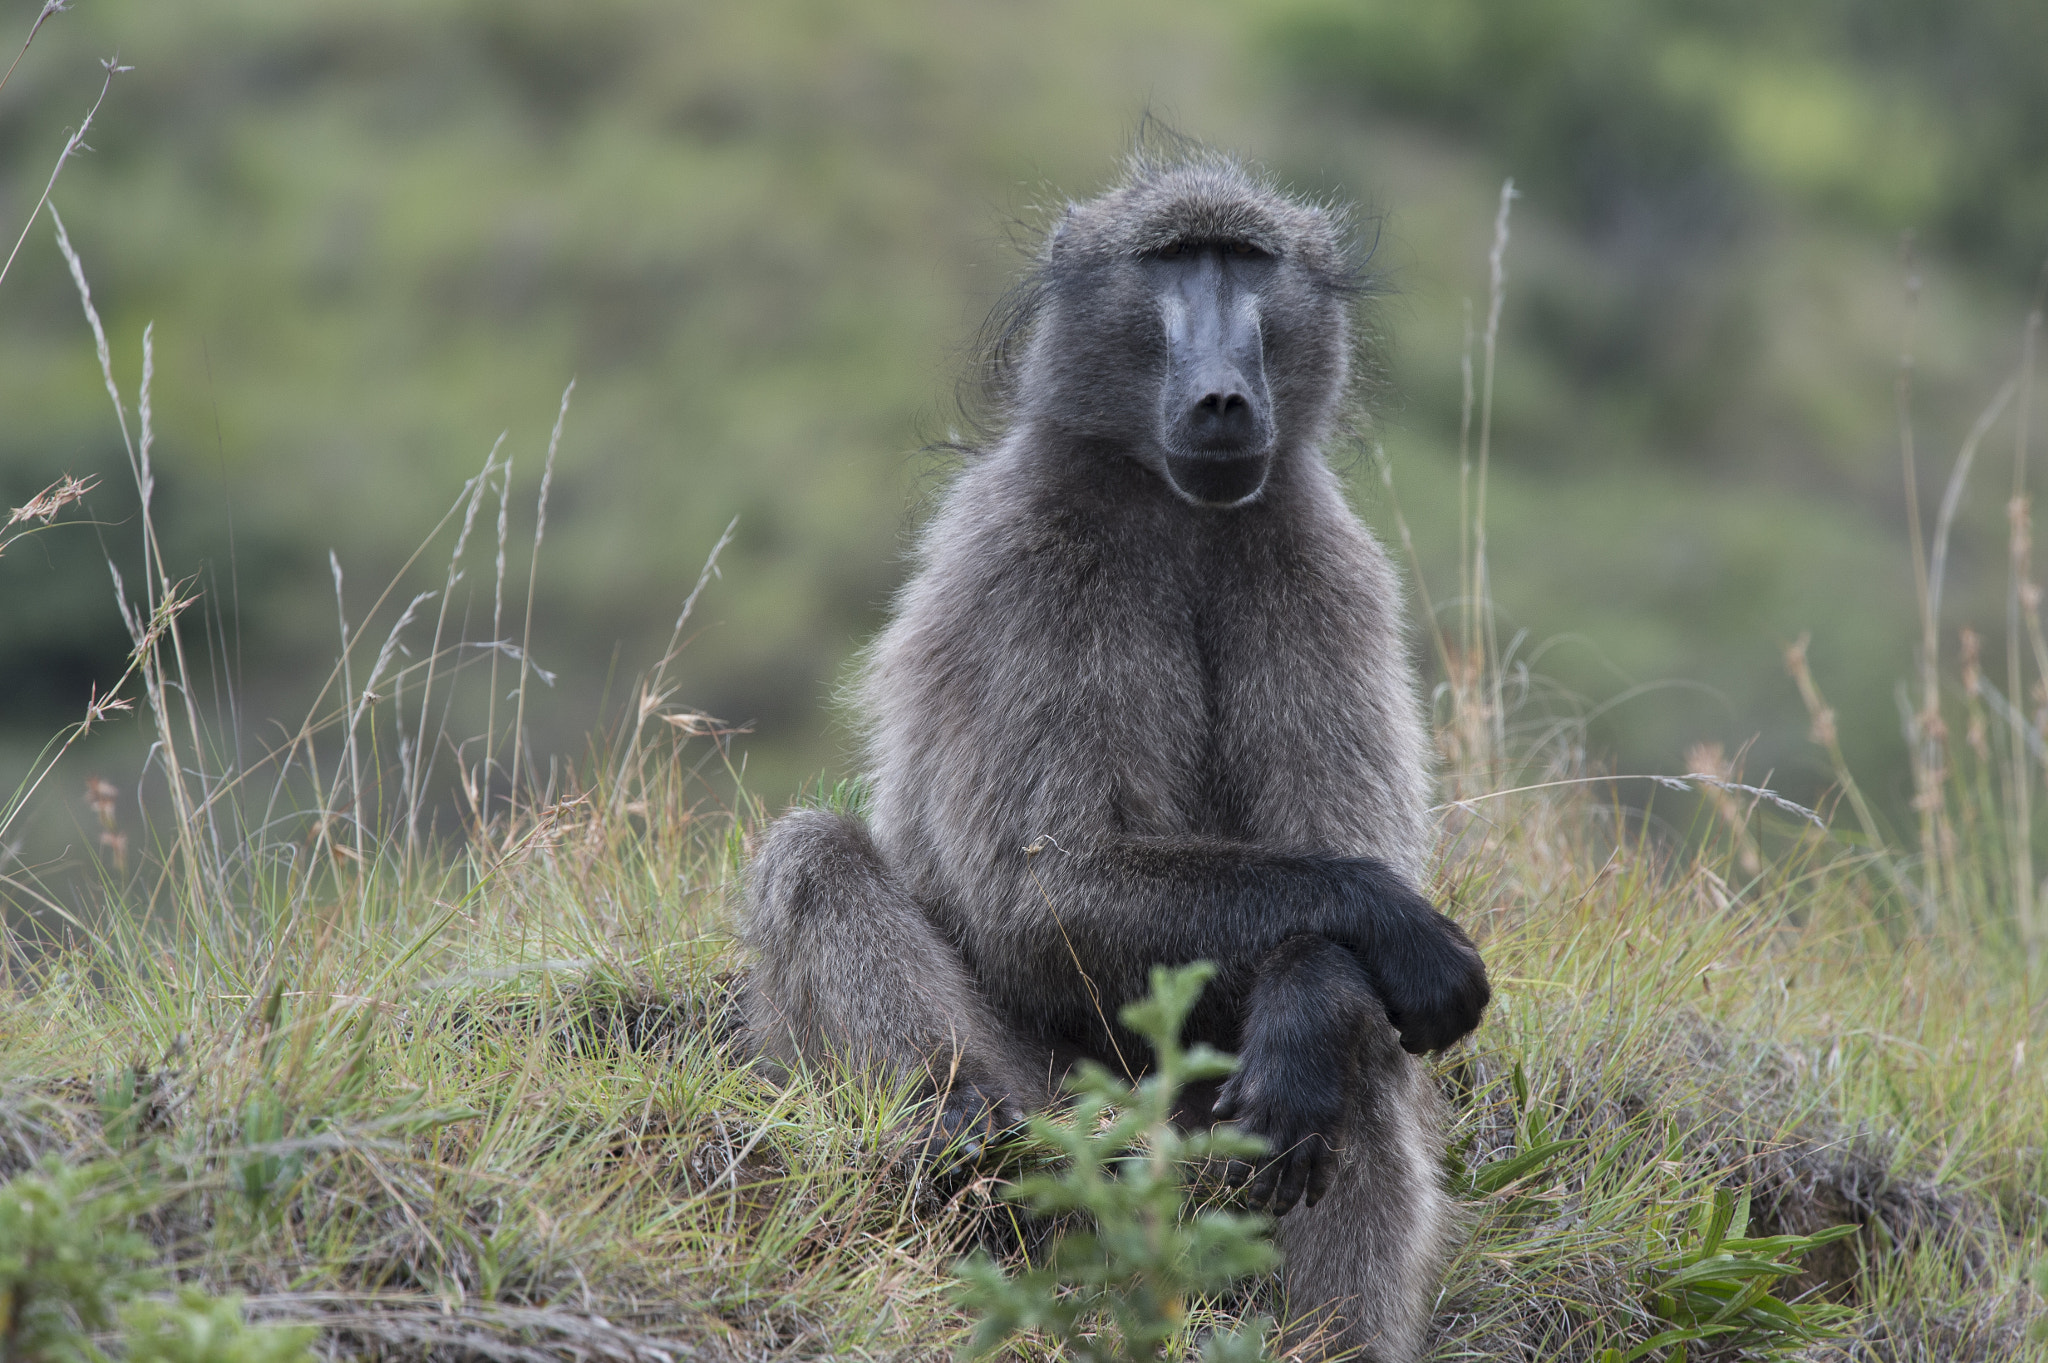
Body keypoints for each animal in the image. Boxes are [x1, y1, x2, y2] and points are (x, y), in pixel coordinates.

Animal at [740, 150, 1490, 1363]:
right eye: (1171, 263)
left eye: (1245, 262)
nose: (1224, 398)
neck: (1176, 509)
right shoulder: (1031, 562)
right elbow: (1040, 891)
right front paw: (1377, 929)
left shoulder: (1326, 569)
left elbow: (1337, 868)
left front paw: (1309, 998)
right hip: (1070, 1127)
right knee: (814, 858)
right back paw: (969, 1143)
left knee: (1363, 1056)